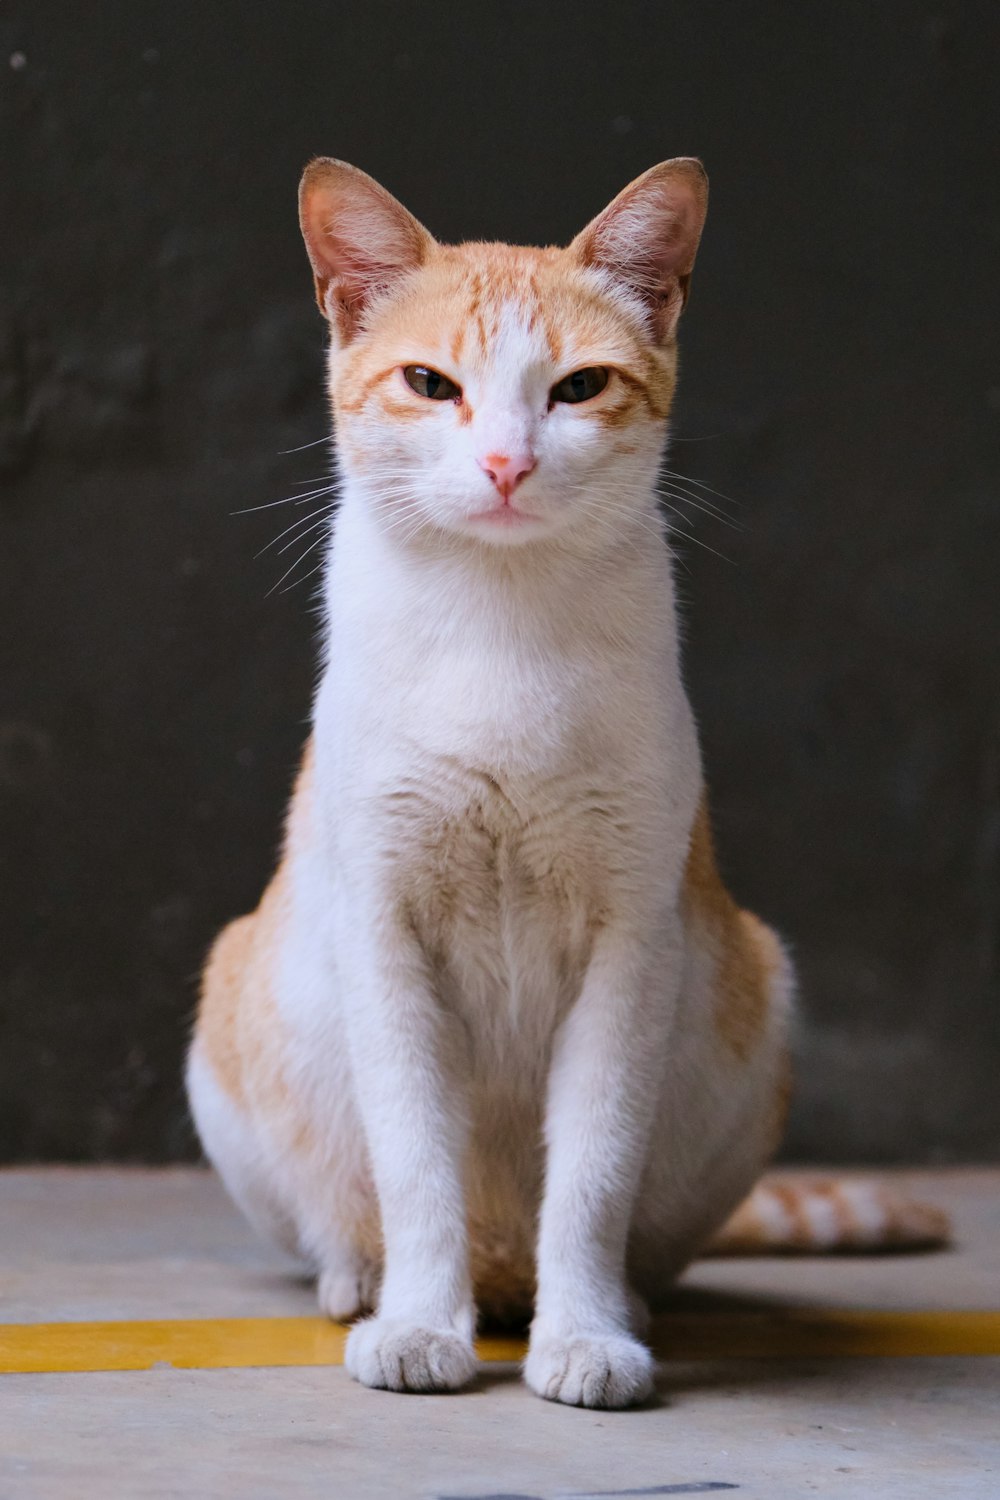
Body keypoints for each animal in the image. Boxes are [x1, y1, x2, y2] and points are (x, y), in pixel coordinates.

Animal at [185, 158, 947, 1410]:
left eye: (579, 387)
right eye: (431, 384)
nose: (506, 462)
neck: (500, 629)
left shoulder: (632, 941)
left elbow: (591, 1175)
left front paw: (586, 1336)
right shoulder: (382, 930)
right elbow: (416, 1162)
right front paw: (418, 1325)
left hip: (756, 991)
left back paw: (606, 1302)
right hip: (232, 1004)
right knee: (352, 1217)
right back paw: (361, 1282)